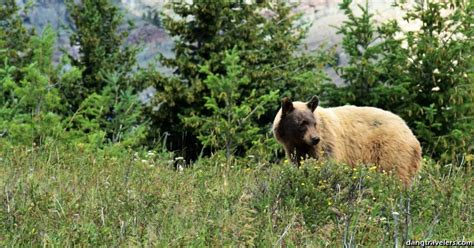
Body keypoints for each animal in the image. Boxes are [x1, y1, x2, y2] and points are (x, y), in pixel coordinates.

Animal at [272, 96, 424, 185]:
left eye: (313, 123)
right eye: (302, 123)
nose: (315, 138)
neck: (299, 142)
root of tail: (412, 136)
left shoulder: (327, 144)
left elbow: (327, 164)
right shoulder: (295, 149)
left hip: (392, 151)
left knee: (396, 174)